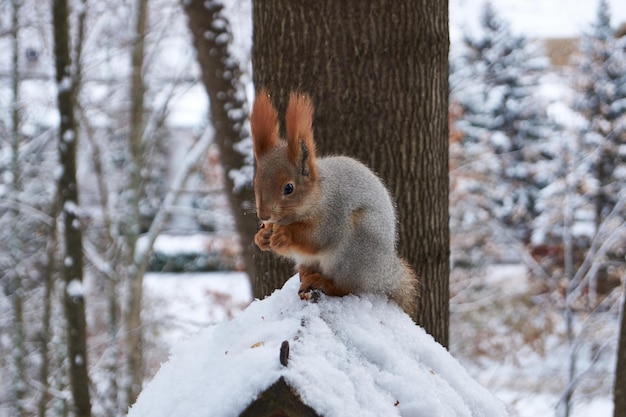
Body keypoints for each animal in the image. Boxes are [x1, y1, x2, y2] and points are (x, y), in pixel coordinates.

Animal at [249, 88, 420, 316]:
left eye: (288, 188)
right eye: (255, 182)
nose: (264, 215)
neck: (318, 195)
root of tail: (381, 275)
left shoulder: (334, 212)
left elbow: (318, 238)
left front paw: (285, 234)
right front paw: (261, 237)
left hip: (354, 249)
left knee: (344, 287)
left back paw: (322, 282)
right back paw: (306, 276)